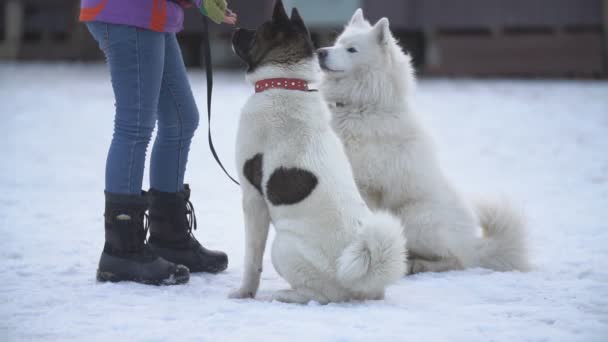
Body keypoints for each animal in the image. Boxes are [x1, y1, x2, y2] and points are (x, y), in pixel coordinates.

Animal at [227, 0, 404, 304]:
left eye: (256, 32)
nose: (236, 28)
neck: (284, 82)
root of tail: (365, 280)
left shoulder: (252, 198)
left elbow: (252, 258)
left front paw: (244, 292)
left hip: (282, 246)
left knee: (319, 294)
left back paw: (284, 295)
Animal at [318, 8, 528, 276]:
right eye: (336, 43)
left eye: (351, 49)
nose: (320, 52)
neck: (361, 107)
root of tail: (475, 246)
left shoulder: (368, 185)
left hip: (415, 218)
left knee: (456, 260)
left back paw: (416, 264)